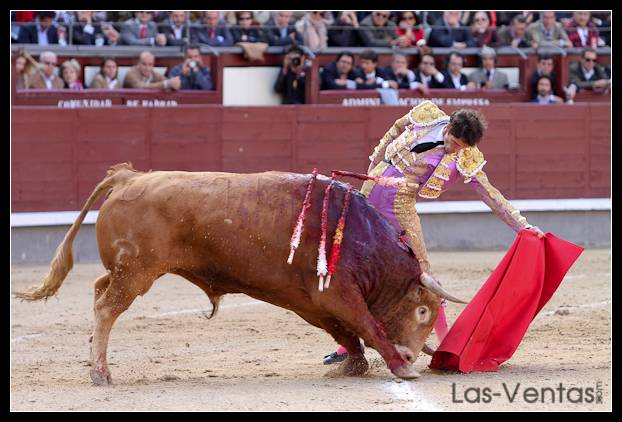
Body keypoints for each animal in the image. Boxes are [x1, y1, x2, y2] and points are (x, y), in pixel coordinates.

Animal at [15, 162, 464, 386]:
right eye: (423, 311)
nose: (411, 353)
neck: (358, 235)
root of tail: (129, 176)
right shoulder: (337, 293)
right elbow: (368, 324)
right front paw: (401, 368)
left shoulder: (311, 301)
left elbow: (345, 331)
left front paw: (352, 365)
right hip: (137, 273)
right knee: (108, 307)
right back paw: (100, 372)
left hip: (125, 270)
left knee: (97, 290)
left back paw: (94, 358)